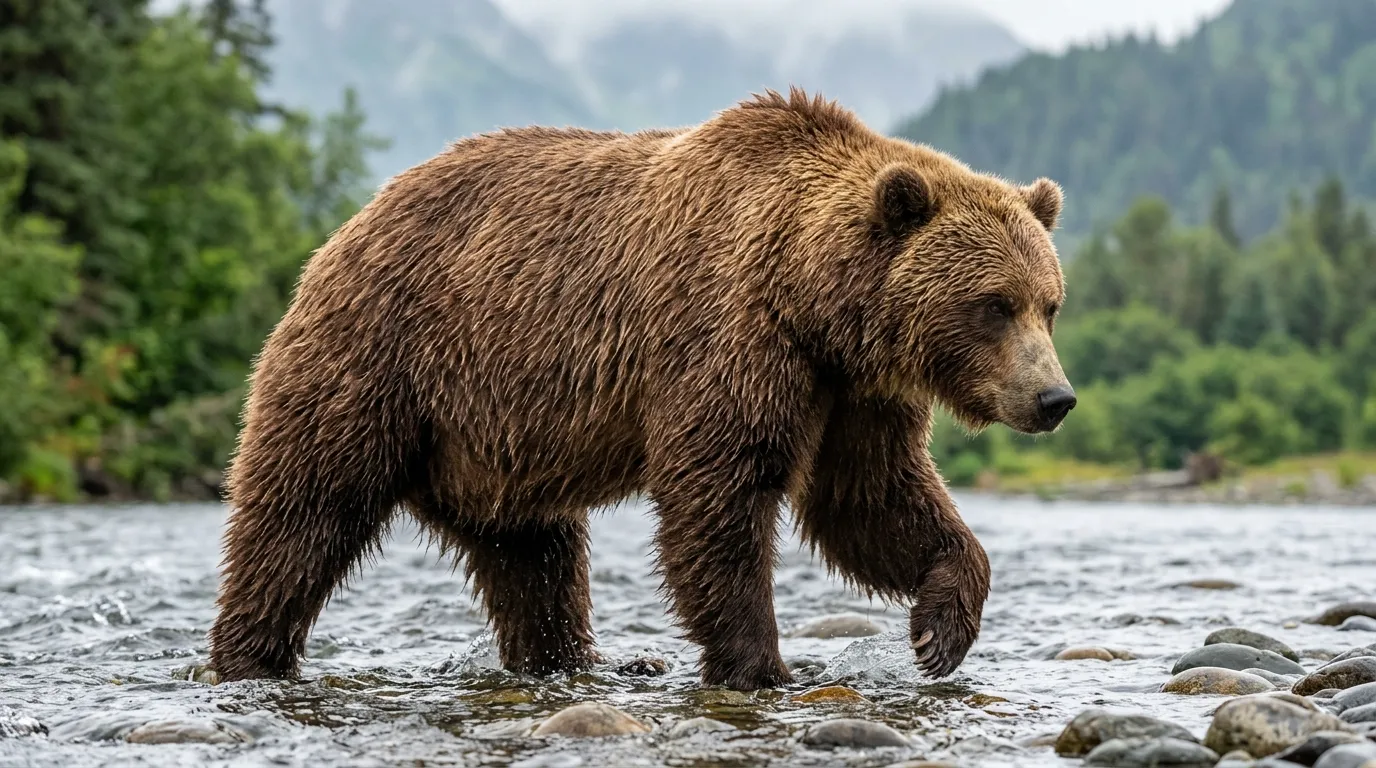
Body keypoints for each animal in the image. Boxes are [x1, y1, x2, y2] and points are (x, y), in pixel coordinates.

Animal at [206, 87, 1075, 691]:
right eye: (993, 304)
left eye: (1049, 303)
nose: (1054, 399)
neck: (812, 301)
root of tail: (349, 226)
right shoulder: (729, 336)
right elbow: (720, 493)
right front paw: (762, 664)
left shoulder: (855, 391)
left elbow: (870, 500)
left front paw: (940, 630)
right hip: (380, 360)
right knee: (303, 510)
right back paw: (250, 655)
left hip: (493, 441)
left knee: (535, 561)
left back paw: (569, 662)